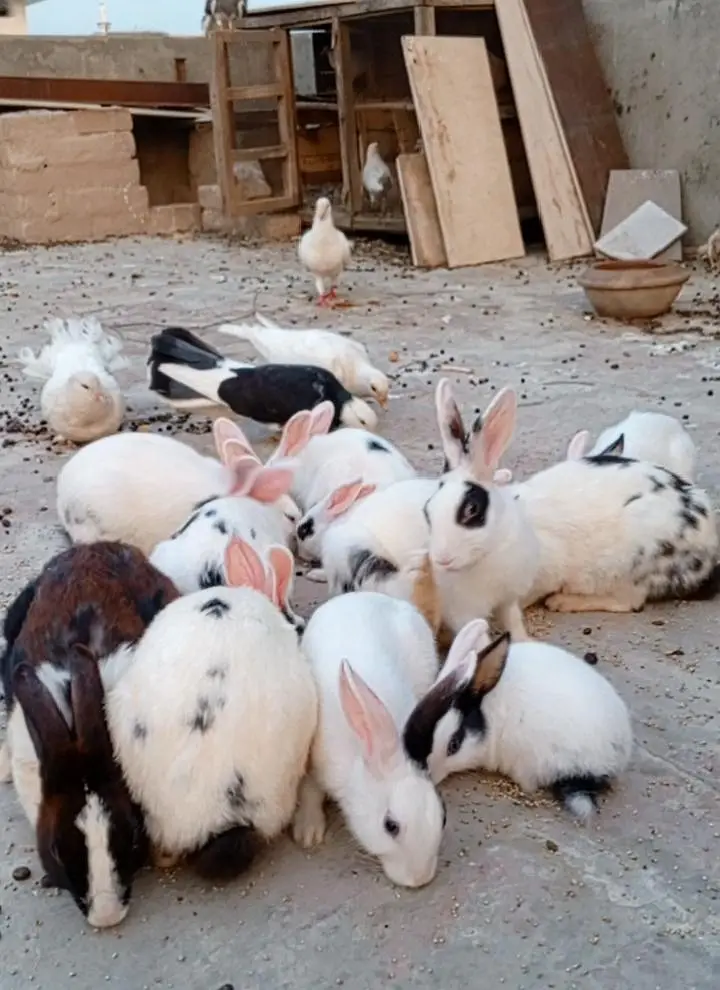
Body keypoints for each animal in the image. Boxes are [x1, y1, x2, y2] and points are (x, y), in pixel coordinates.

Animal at [292, 590, 446, 888]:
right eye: (390, 826)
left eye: (443, 816)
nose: (420, 879)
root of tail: (364, 594)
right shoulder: (314, 762)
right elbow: (310, 791)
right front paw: (308, 833)